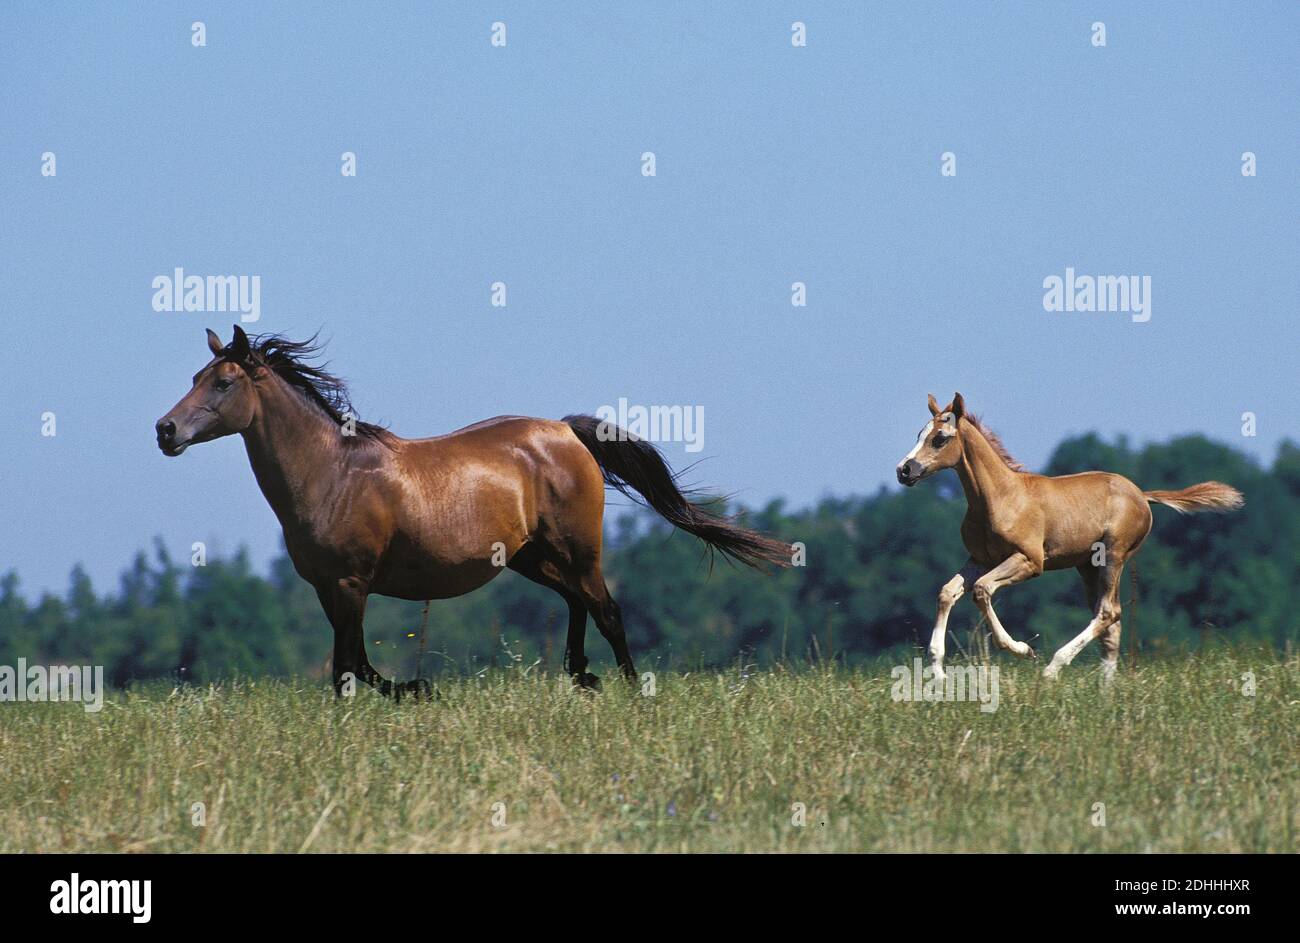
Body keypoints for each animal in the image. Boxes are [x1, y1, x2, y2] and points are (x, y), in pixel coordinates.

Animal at [155, 326, 790, 698]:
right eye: (196, 376)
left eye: (224, 382)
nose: (165, 431)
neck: (333, 473)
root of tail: (567, 432)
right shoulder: (328, 589)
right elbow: (353, 664)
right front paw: (411, 690)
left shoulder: (352, 583)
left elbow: (349, 666)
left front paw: (409, 692)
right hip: (533, 558)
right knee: (578, 604)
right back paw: (580, 674)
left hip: (578, 549)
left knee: (607, 609)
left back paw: (630, 691)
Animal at [895, 393, 1243, 680]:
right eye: (918, 434)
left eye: (940, 438)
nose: (905, 470)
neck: (999, 497)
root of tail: (1143, 496)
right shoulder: (980, 559)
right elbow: (947, 592)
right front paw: (938, 672)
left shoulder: (1029, 561)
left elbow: (981, 590)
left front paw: (1023, 650)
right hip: (1088, 566)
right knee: (1111, 625)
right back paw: (1106, 693)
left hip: (1113, 556)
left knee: (1108, 613)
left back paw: (1053, 668)